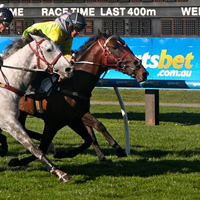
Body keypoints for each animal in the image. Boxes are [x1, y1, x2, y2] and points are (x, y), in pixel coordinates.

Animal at [0, 30, 74, 182]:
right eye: (49, 49)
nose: (69, 68)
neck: (6, 85)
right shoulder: (9, 123)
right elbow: (34, 148)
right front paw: (60, 173)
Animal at [7, 30, 148, 167]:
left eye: (126, 45)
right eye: (115, 47)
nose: (143, 72)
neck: (72, 84)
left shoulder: (76, 116)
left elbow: (93, 132)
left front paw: (115, 150)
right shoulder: (54, 122)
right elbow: (42, 147)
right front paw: (18, 161)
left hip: (22, 112)